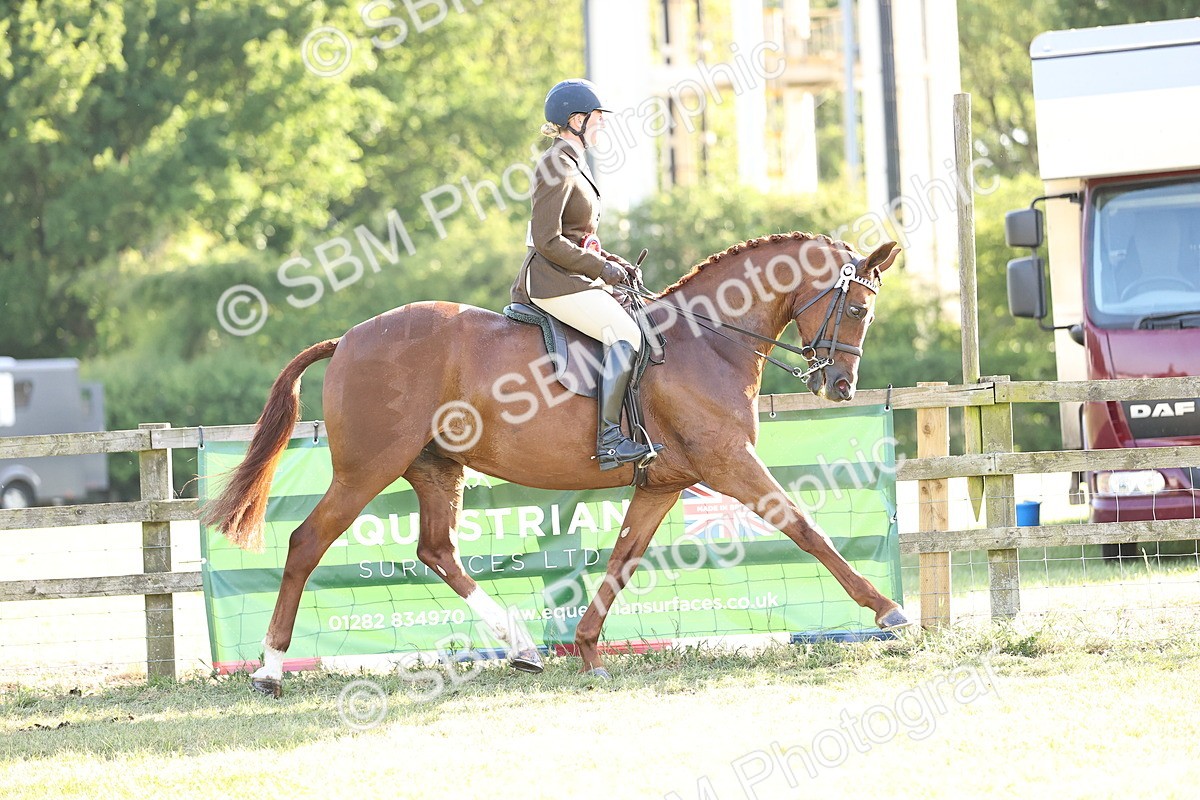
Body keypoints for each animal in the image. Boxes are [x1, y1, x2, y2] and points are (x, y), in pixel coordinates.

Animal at [203, 231, 906, 696]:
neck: (707, 341)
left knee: (437, 550)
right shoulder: (730, 463)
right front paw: (887, 611)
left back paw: (521, 648)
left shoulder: (665, 482)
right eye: (858, 308)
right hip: (365, 471)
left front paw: (588, 651)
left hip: (436, 468)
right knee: (306, 542)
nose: (840, 386)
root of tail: (347, 338)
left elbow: (622, 558)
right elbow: (805, 528)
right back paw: (269, 670)